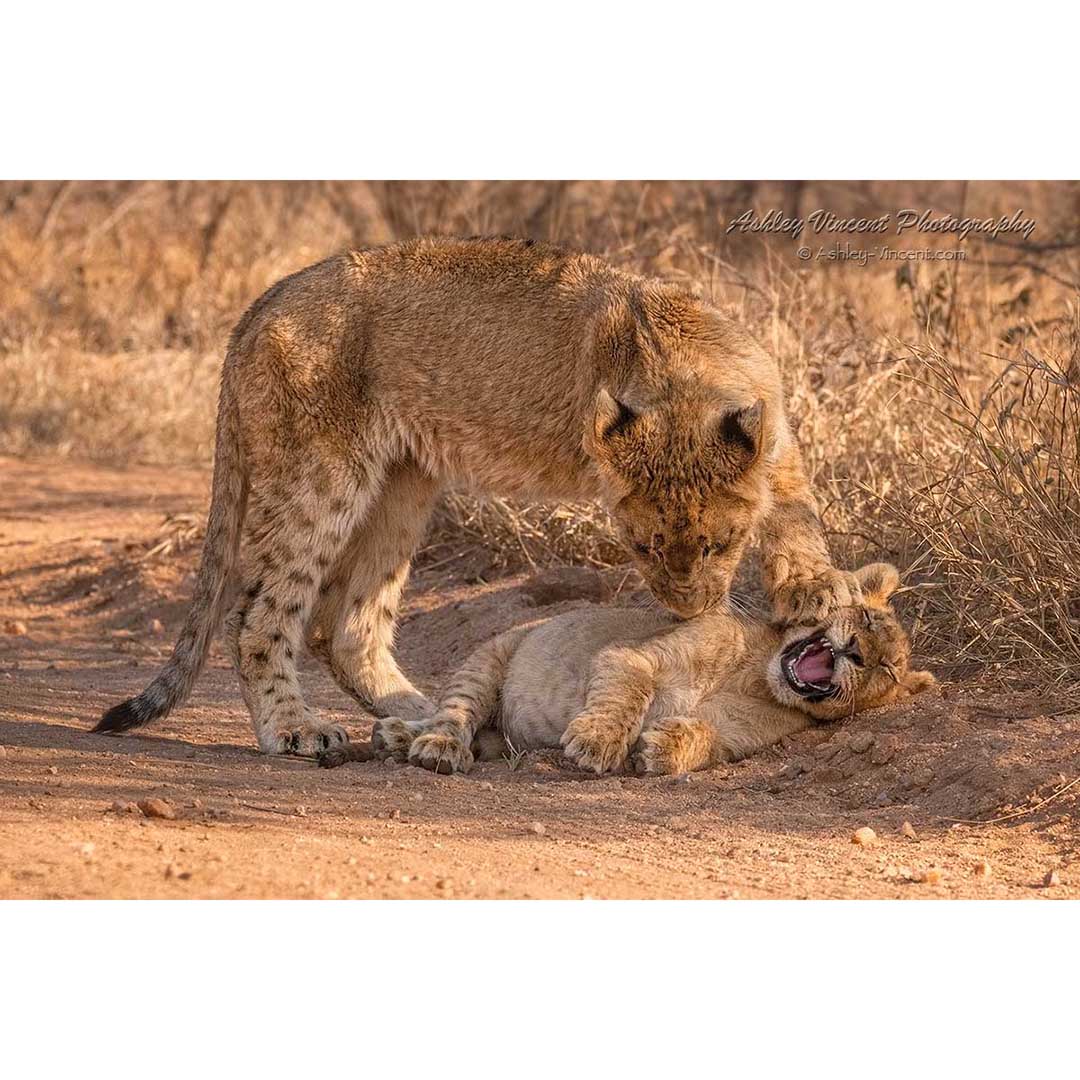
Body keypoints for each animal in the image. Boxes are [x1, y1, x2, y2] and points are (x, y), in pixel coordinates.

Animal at [95, 235, 859, 755]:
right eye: (642, 548)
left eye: (719, 544)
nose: (689, 611)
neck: (684, 380)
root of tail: (262, 304)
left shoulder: (776, 429)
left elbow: (795, 509)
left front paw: (815, 586)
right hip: (322, 474)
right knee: (259, 617)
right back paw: (296, 728)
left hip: (402, 485)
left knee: (345, 625)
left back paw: (419, 714)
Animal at [324, 562, 934, 775]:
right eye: (864, 617)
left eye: (884, 672)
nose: (856, 652)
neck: (757, 674)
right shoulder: (636, 655)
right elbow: (628, 691)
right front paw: (597, 745)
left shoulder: (737, 737)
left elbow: (703, 737)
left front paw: (660, 750)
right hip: (492, 654)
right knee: (455, 714)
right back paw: (424, 744)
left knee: (481, 738)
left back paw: (396, 738)